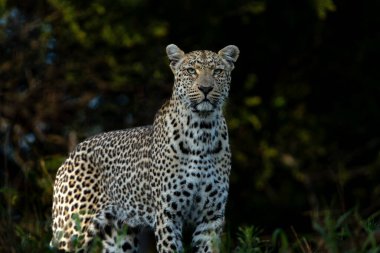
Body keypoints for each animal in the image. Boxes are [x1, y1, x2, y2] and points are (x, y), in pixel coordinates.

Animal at [51, 44, 238, 253]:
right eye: (191, 71)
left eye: (217, 71)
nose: (206, 88)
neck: (202, 130)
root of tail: (69, 157)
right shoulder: (167, 214)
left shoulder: (211, 217)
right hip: (73, 230)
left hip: (120, 237)